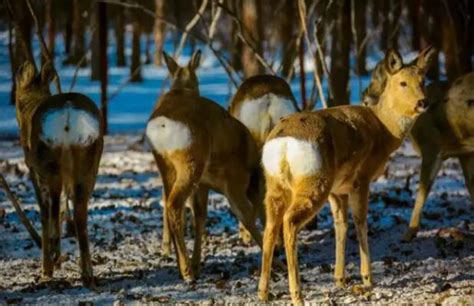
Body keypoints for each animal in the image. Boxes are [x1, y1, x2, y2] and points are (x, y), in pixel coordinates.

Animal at [14, 60, 103, 286]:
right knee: (79, 212)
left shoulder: (35, 170)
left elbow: (44, 213)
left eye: (17, 101)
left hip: (49, 160)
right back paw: (87, 273)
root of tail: (68, 113)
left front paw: (46, 267)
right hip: (89, 159)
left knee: (52, 207)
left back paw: (53, 259)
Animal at [144, 50, 262, 282]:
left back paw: (183, 264)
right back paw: (186, 271)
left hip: (165, 164)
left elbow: (200, 214)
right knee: (175, 205)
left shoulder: (205, 183)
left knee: (170, 203)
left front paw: (197, 263)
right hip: (190, 162)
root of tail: (162, 125)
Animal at [258, 47, 436, 304]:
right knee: (289, 222)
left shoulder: (338, 189)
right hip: (314, 181)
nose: (423, 102)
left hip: (275, 184)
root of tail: (283, 145)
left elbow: (340, 225)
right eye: (402, 82)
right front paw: (367, 278)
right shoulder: (361, 179)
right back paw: (297, 294)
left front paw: (340, 278)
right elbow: (360, 221)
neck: (385, 130)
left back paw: (263, 292)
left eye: (423, 81)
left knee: (270, 226)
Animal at [364, 65, 472, 241]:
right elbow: (471, 185)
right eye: (402, 83)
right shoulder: (465, 151)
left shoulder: (432, 146)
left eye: (380, 81)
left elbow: (422, 188)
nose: (365, 100)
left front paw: (409, 233)